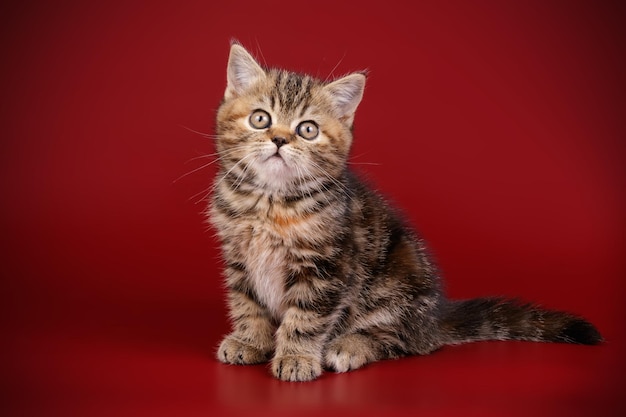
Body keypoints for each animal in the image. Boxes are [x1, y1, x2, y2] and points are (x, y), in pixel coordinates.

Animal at [208, 41, 600, 380]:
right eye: (261, 119)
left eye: (307, 129)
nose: (279, 139)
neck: (270, 200)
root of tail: (434, 320)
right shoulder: (239, 257)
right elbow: (246, 302)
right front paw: (250, 340)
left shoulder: (327, 266)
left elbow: (306, 317)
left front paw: (296, 357)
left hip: (397, 282)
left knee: (400, 340)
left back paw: (349, 346)